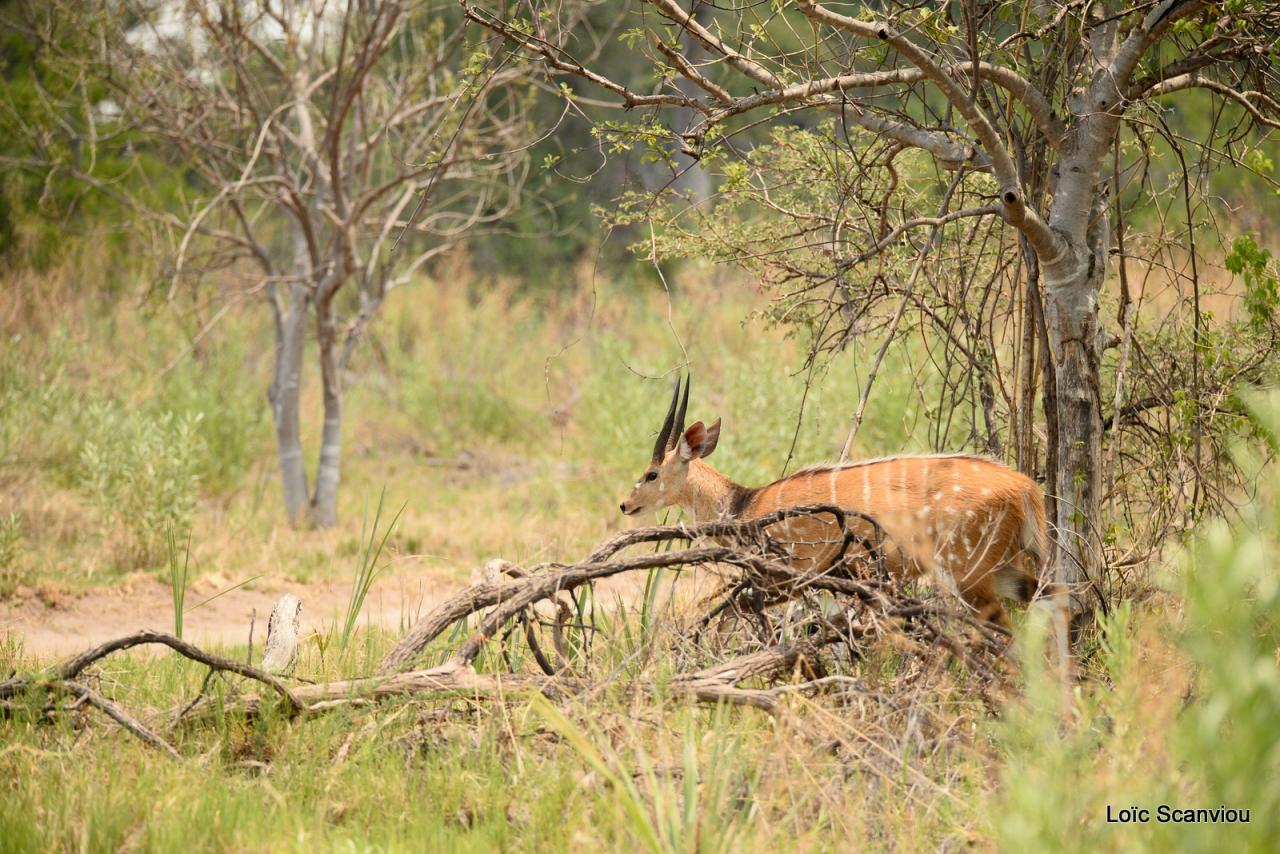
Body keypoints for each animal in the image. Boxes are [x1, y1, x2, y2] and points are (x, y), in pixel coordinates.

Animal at [614, 376, 1064, 632]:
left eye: (651, 473)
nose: (624, 504)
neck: (745, 504)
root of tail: (1025, 488)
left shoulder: (790, 576)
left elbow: (732, 612)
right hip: (1004, 569)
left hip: (968, 570)